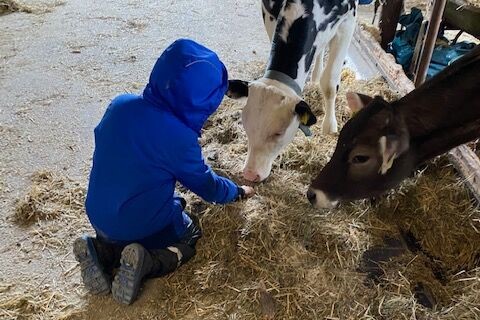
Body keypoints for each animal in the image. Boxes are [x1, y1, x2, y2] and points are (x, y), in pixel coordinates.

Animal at [228, 0, 356, 181]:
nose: (250, 175)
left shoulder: (348, 21)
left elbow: (329, 83)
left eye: (279, 133)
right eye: (245, 125)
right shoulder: (269, 13)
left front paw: (330, 126)